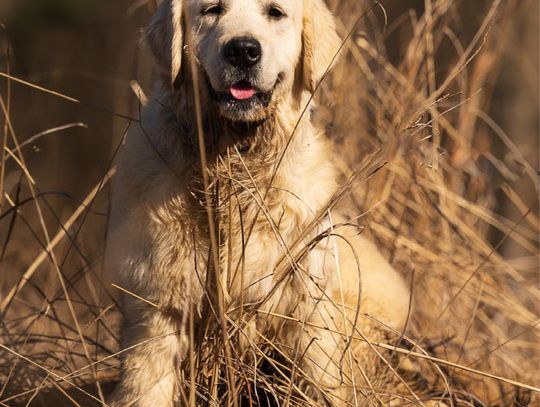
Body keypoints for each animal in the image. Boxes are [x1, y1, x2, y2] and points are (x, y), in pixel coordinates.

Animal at [105, 0, 410, 404]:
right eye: (212, 10)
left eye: (275, 12)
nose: (243, 51)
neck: (233, 167)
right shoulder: (157, 307)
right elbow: (145, 388)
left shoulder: (307, 308)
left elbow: (322, 378)